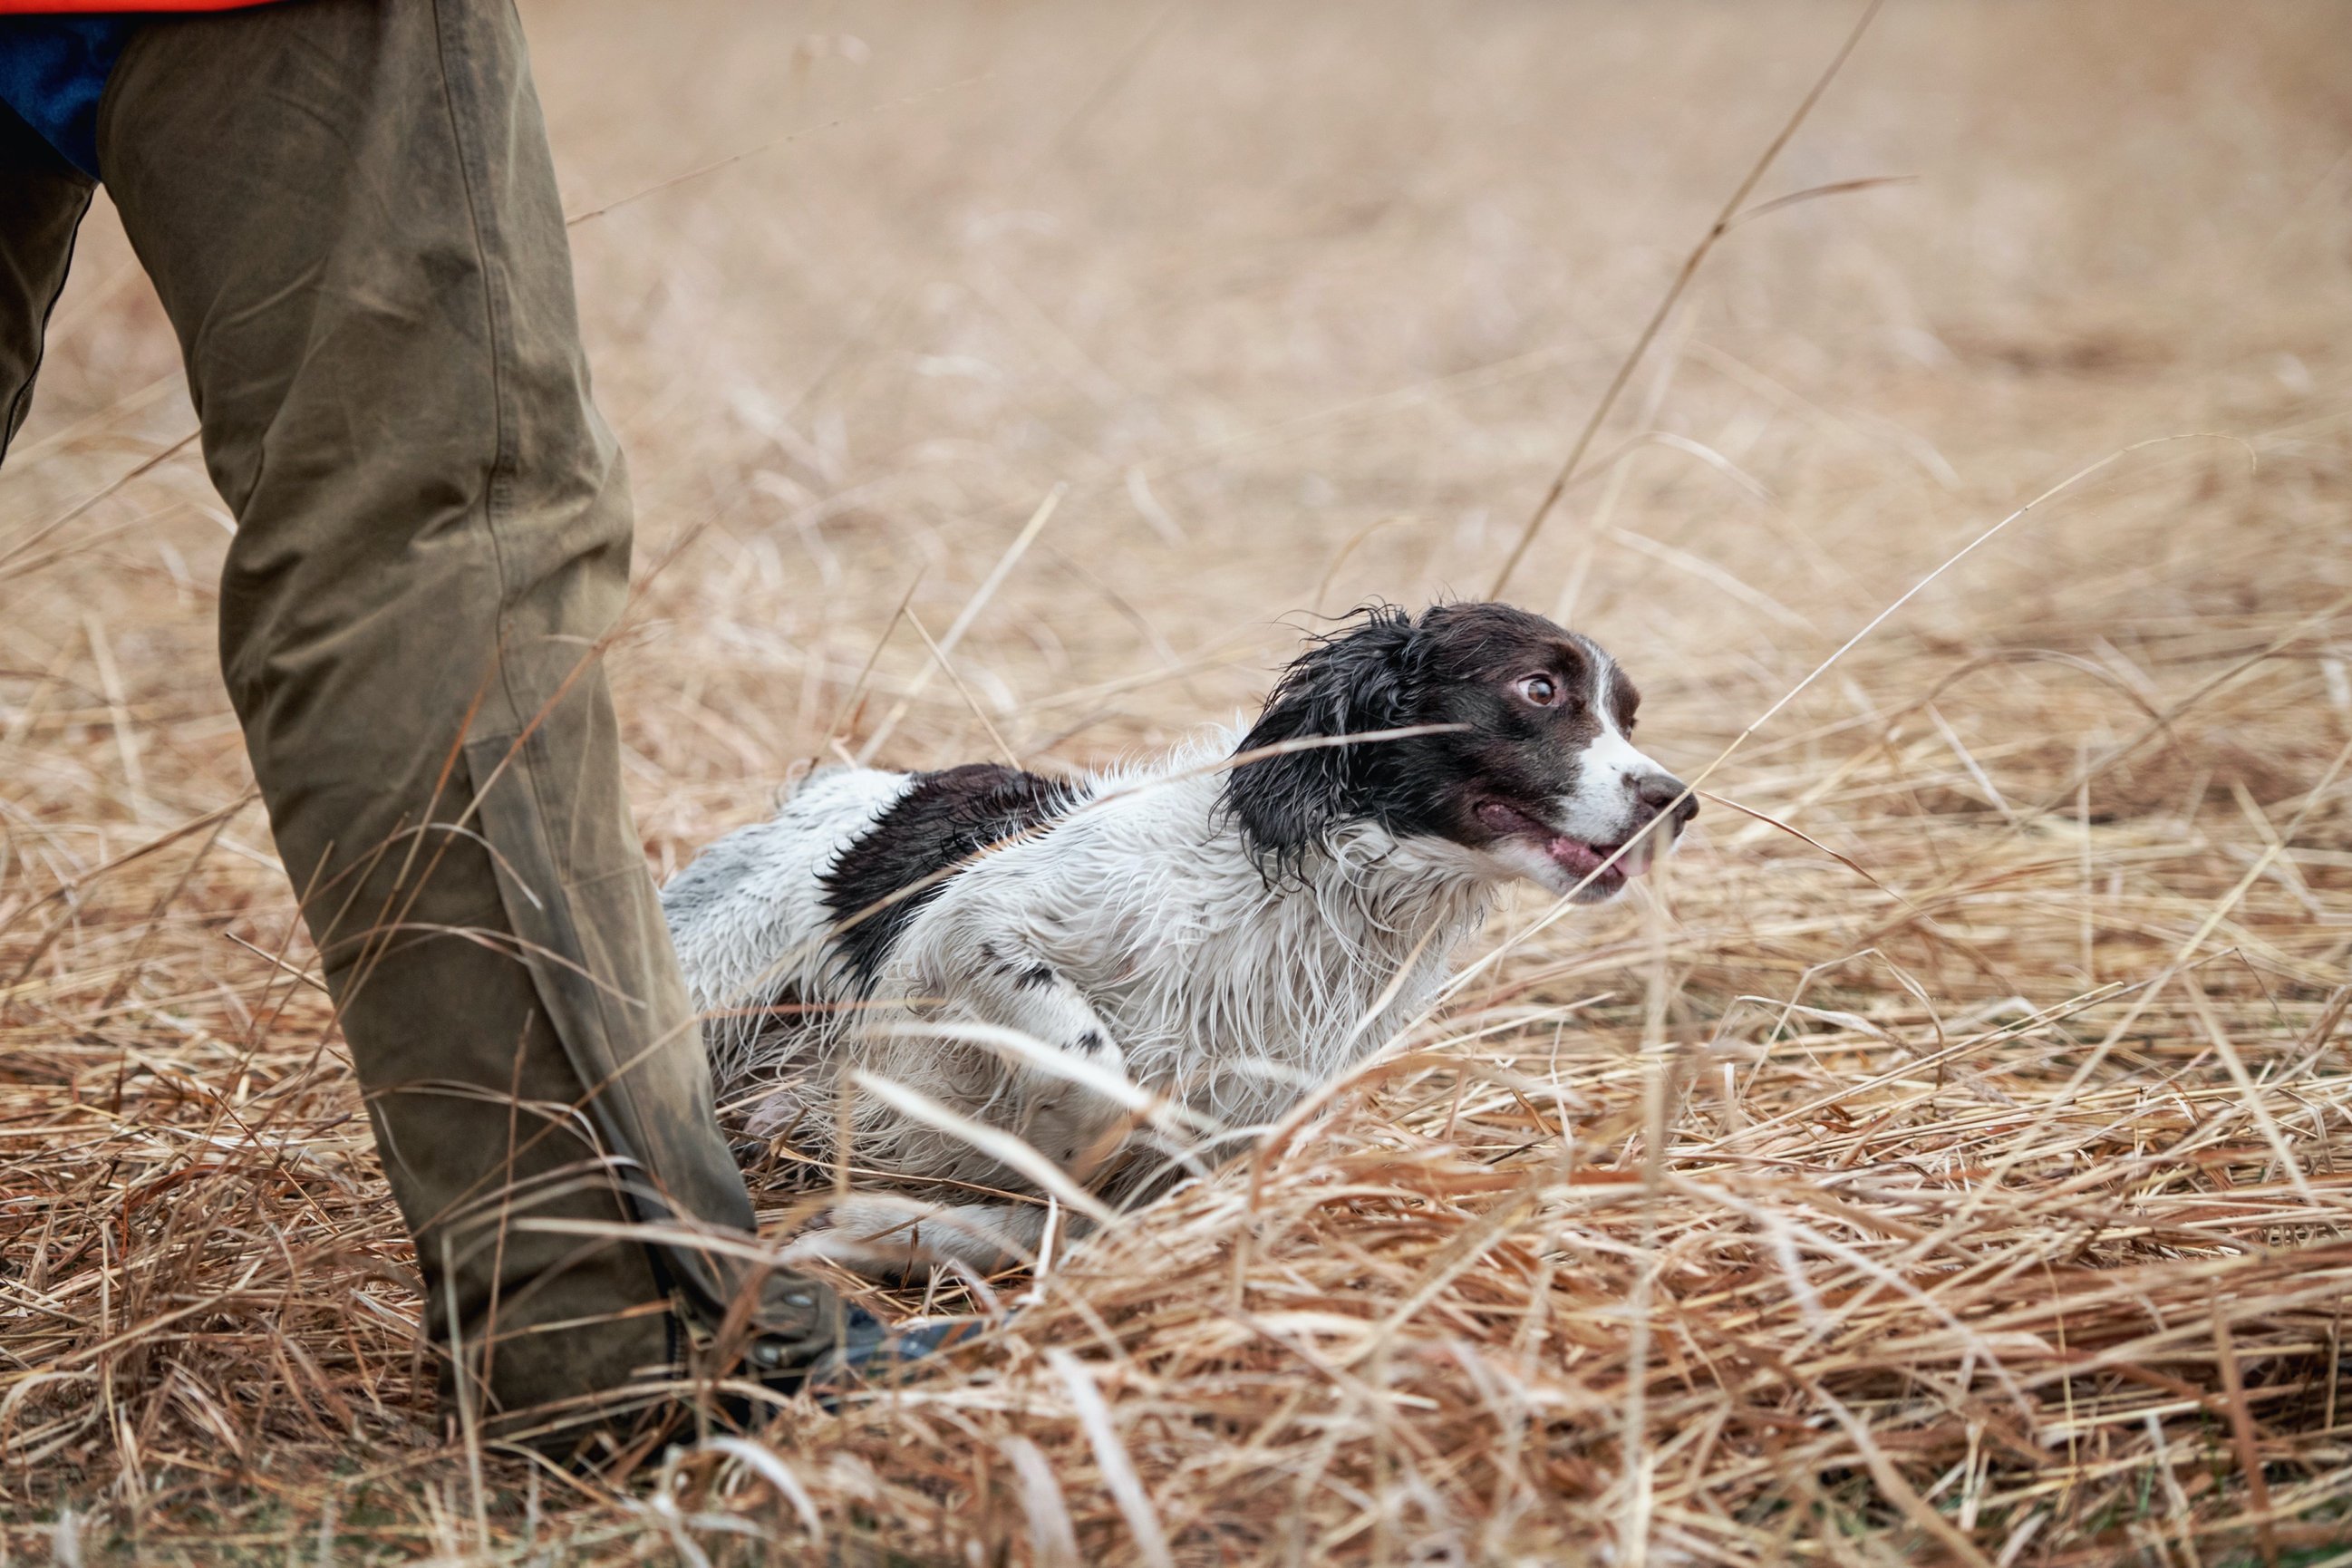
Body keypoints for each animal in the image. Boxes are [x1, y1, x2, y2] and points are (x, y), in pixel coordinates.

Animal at [658, 601, 1693, 1278]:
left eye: (1629, 715)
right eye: (1539, 687)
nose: (1675, 802)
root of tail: (833, 784)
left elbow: (1055, 1220)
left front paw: (872, 1227)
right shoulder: (975, 925)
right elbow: (1092, 1068)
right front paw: (1060, 1136)